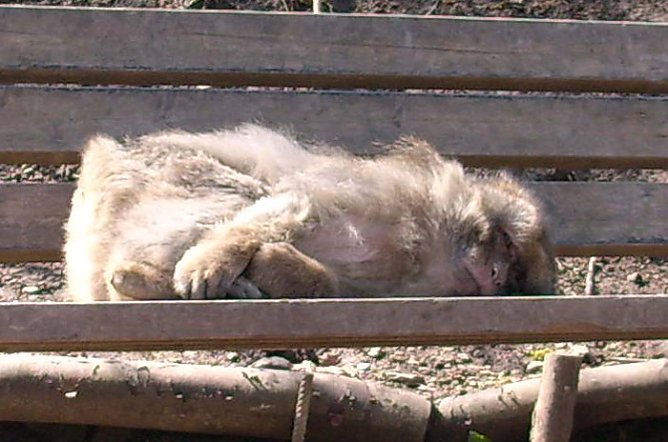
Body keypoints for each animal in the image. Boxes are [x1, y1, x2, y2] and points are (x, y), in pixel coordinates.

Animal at [64, 124, 556, 302]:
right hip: (171, 176)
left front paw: (277, 265)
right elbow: (295, 203)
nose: (496, 276)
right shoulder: (389, 198)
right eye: (506, 242)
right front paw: (217, 259)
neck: (428, 246)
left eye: (514, 277)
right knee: (244, 193)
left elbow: (333, 284)